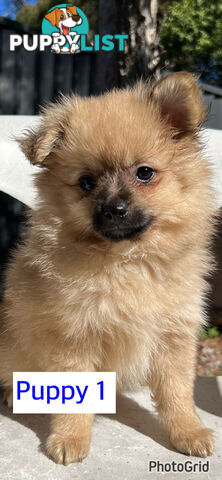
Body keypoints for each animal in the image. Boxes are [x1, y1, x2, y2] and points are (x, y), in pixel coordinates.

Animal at [0, 72, 215, 464]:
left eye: (144, 173)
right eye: (86, 182)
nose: (114, 209)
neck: (126, 261)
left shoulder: (174, 337)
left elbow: (177, 393)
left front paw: (188, 432)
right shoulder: (74, 336)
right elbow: (74, 397)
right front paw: (70, 439)